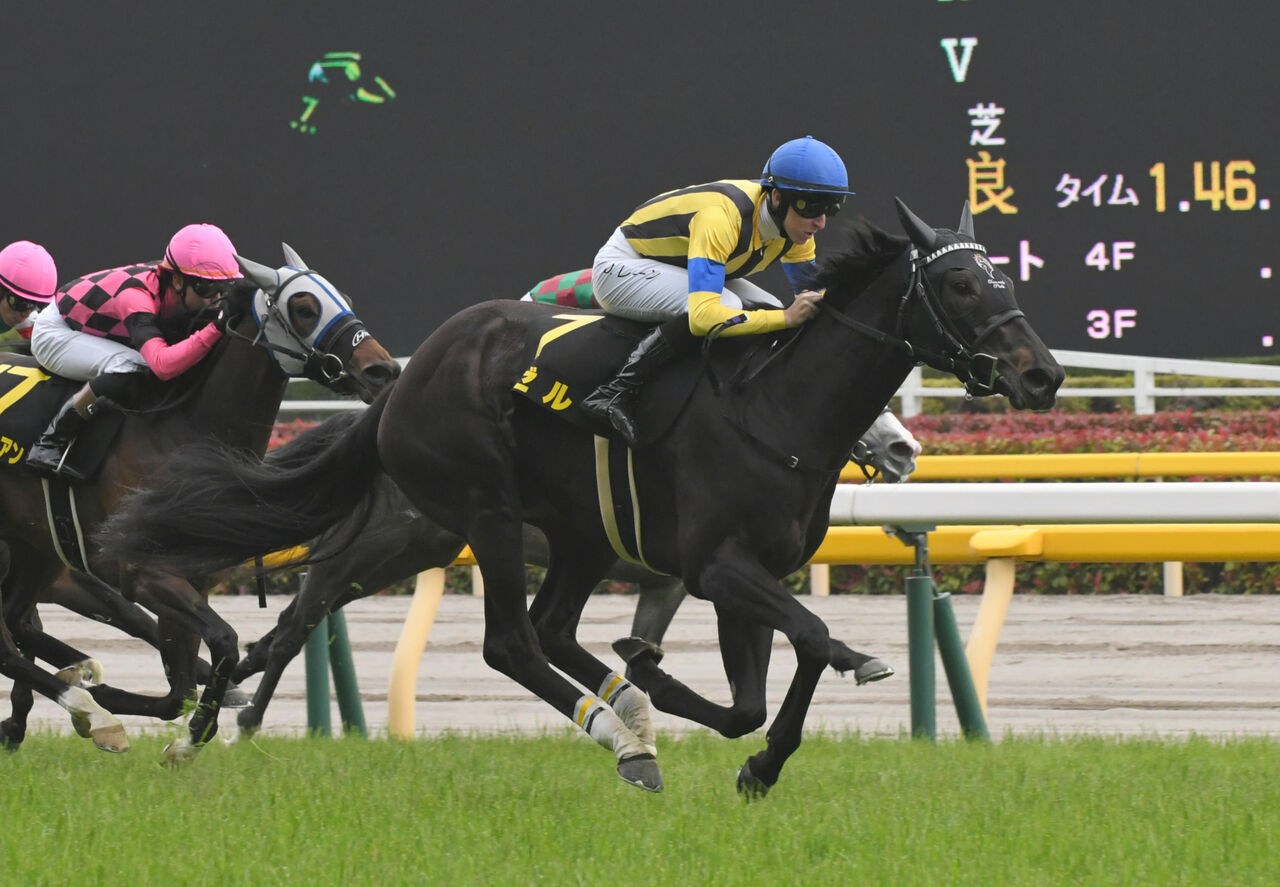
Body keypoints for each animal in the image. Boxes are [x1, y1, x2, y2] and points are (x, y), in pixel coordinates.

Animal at [0, 246, 400, 756]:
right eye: (305, 308)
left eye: (344, 298)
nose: (382, 370)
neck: (180, 430)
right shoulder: (145, 573)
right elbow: (224, 642)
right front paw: (186, 735)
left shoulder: (194, 580)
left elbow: (181, 690)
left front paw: (182, 730)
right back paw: (89, 709)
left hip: (36, 549)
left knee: (17, 623)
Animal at [224, 405, 919, 737]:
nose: (904, 448)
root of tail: (376, 418)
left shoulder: (663, 579)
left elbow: (644, 643)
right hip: (369, 550)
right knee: (293, 627)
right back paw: (243, 716)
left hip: (399, 556)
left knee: (288, 626)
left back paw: (232, 686)